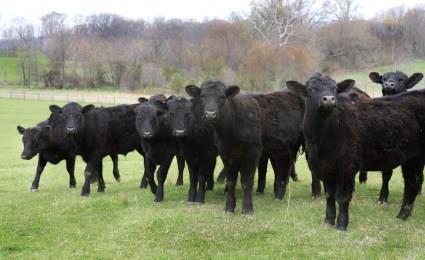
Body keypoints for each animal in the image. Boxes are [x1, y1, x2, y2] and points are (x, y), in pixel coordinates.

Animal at [187, 80, 304, 214]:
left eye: (222, 97)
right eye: (203, 97)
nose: (210, 114)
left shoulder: (252, 153)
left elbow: (246, 181)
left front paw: (247, 209)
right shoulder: (226, 154)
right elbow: (231, 181)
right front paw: (229, 208)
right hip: (282, 149)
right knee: (283, 169)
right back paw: (278, 196)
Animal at [286, 73, 424, 230]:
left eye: (335, 89)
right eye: (311, 89)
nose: (329, 99)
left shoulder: (347, 168)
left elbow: (342, 197)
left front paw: (341, 225)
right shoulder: (325, 168)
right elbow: (329, 196)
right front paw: (328, 221)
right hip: (411, 157)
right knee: (411, 182)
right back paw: (402, 215)